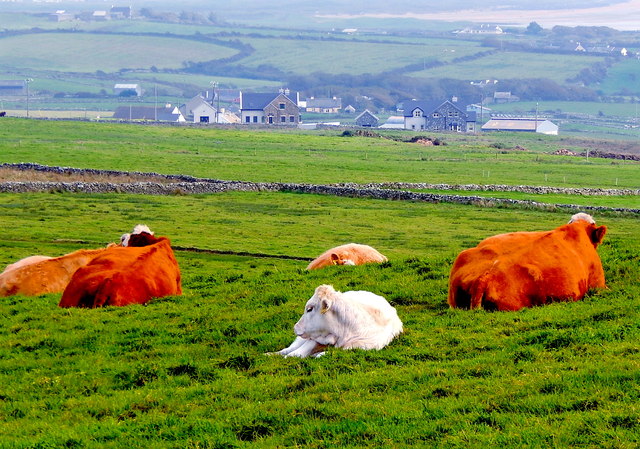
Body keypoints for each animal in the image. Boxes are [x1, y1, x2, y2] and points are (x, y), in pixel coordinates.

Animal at [271, 284, 403, 358]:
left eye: (309, 309)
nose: (296, 327)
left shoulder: (362, 347)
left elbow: (320, 355)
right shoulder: (314, 340)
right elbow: (294, 354)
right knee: (287, 350)